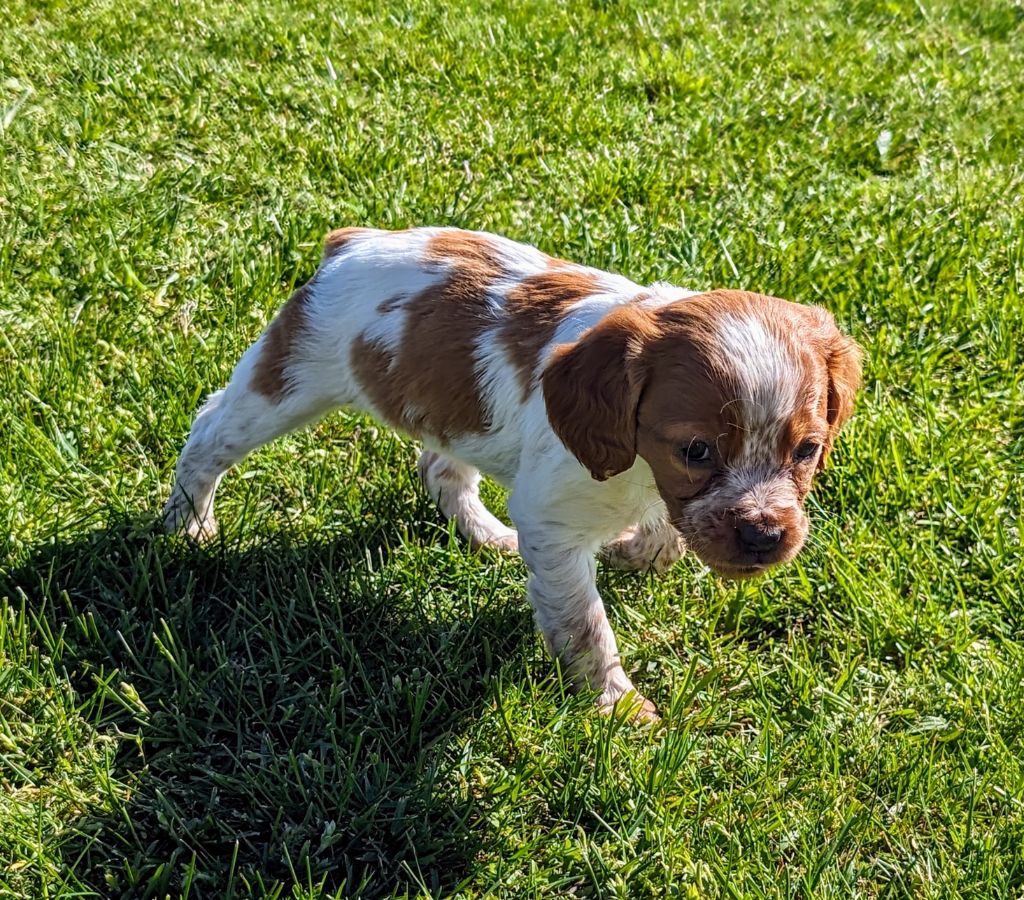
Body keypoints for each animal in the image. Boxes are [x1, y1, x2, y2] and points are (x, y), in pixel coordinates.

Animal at [164, 227, 862, 721]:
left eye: (807, 451)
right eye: (695, 451)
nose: (765, 537)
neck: (637, 467)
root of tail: (352, 242)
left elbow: (667, 536)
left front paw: (629, 554)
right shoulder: (553, 519)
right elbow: (583, 623)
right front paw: (618, 709)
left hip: (445, 411)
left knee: (441, 470)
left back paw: (486, 536)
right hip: (292, 382)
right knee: (211, 430)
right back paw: (187, 526)